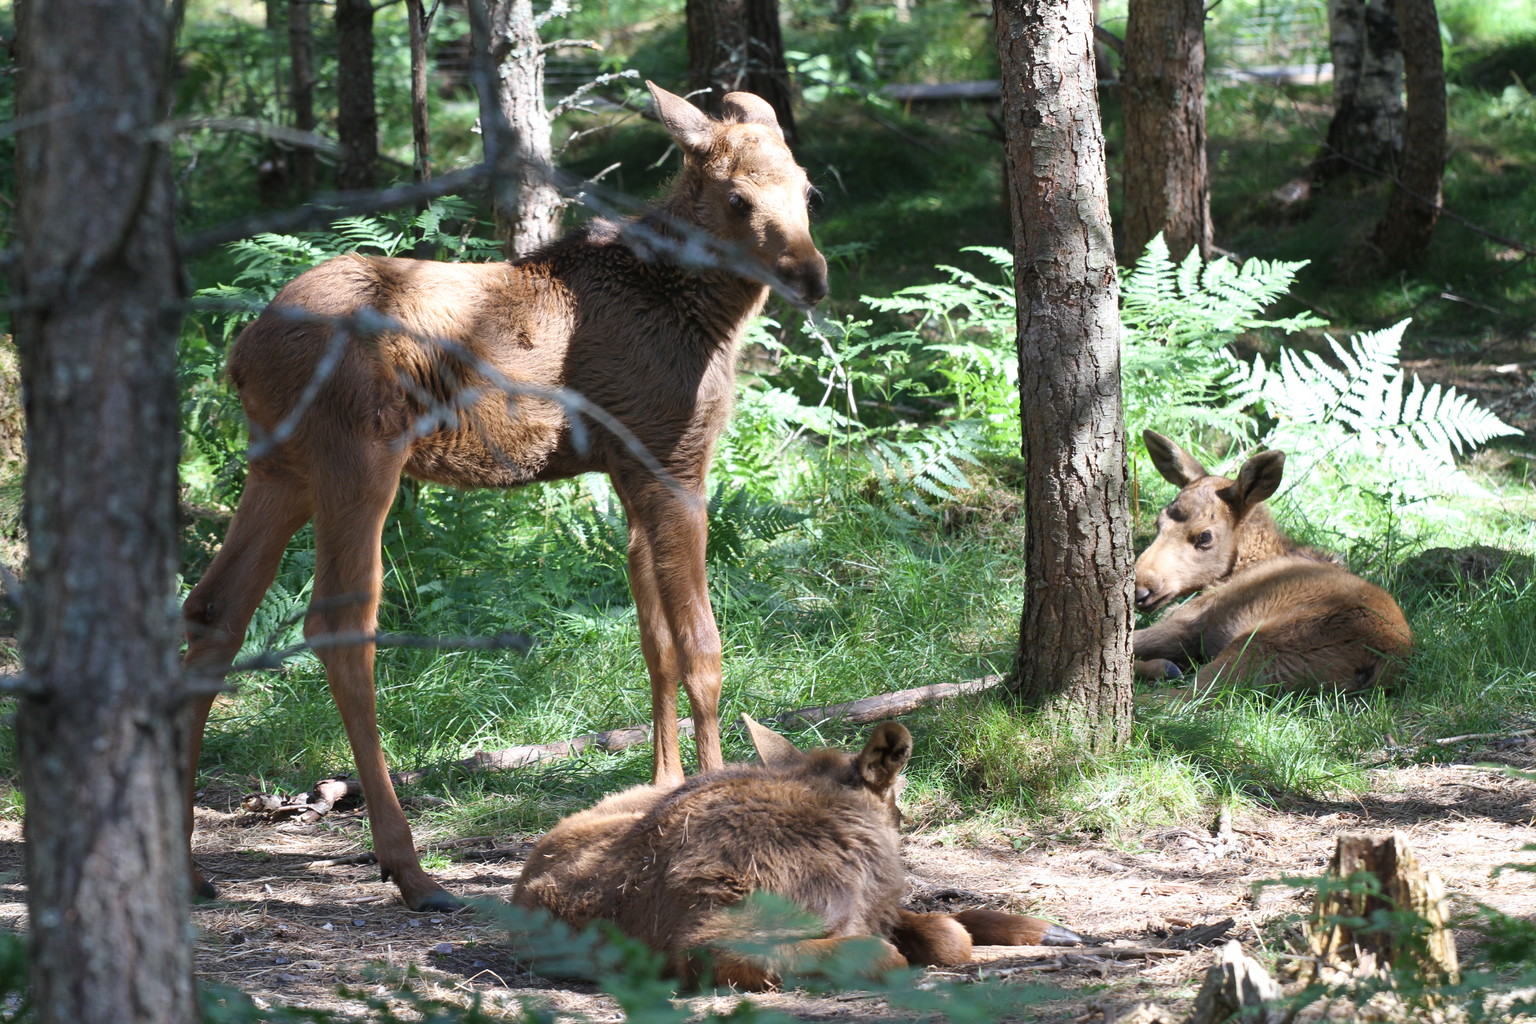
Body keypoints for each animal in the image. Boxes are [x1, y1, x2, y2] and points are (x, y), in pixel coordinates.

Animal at [180, 83, 828, 912]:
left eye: (807, 190)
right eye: (738, 198)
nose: (812, 275)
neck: (704, 318)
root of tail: (239, 354)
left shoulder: (628, 474)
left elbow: (652, 642)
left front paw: (660, 789)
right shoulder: (674, 463)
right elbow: (702, 648)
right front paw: (707, 795)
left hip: (280, 470)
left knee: (215, 610)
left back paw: (190, 864)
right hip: (355, 461)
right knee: (338, 623)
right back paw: (410, 868)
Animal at [1132, 429, 1413, 696]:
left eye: (1205, 536)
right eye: (1158, 523)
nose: (1140, 588)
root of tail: (1382, 665)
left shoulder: (1189, 621)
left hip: (1259, 647)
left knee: (1186, 698)